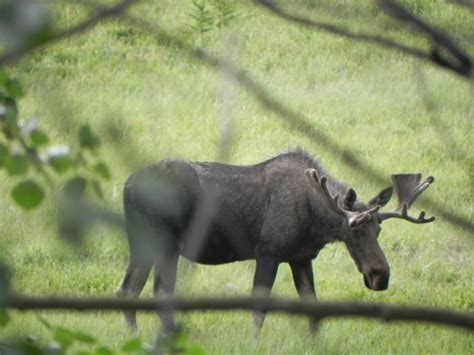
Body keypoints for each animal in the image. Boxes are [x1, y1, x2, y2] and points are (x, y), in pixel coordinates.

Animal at [116, 149, 436, 336]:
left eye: (379, 230)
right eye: (354, 230)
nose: (380, 276)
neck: (317, 221)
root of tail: (127, 185)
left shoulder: (301, 257)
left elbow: (312, 307)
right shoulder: (267, 253)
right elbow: (259, 309)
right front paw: (253, 343)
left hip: (140, 245)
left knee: (127, 290)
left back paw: (133, 337)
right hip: (166, 244)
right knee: (160, 291)